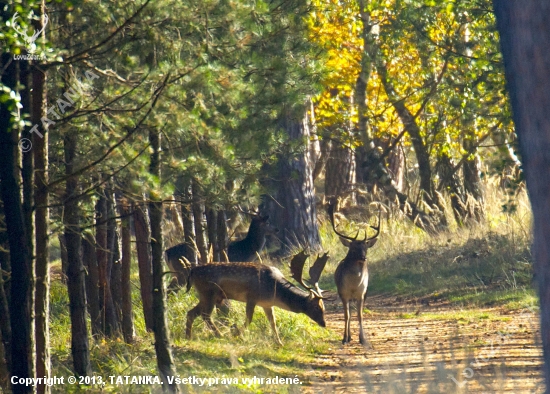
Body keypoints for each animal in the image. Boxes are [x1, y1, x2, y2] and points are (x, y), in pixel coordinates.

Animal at [183, 252, 330, 344]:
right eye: (315, 306)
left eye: (324, 307)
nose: (324, 323)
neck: (275, 291)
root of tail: (192, 271)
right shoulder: (252, 297)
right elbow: (249, 319)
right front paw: (236, 334)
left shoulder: (267, 304)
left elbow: (273, 323)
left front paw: (279, 343)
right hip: (209, 293)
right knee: (205, 315)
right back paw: (220, 335)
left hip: (205, 295)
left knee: (191, 313)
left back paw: (188, 337)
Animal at [330, 202, 382, 344]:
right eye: (353, 249)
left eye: (365, 248)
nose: (363, 258)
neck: (354, 284)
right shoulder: (343, 293)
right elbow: (346, 316)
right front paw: (344, 338)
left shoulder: (362, 293)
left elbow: (360, 315)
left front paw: (362, 339)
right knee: (348, 314)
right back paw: (348, 337)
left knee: (354, 313)